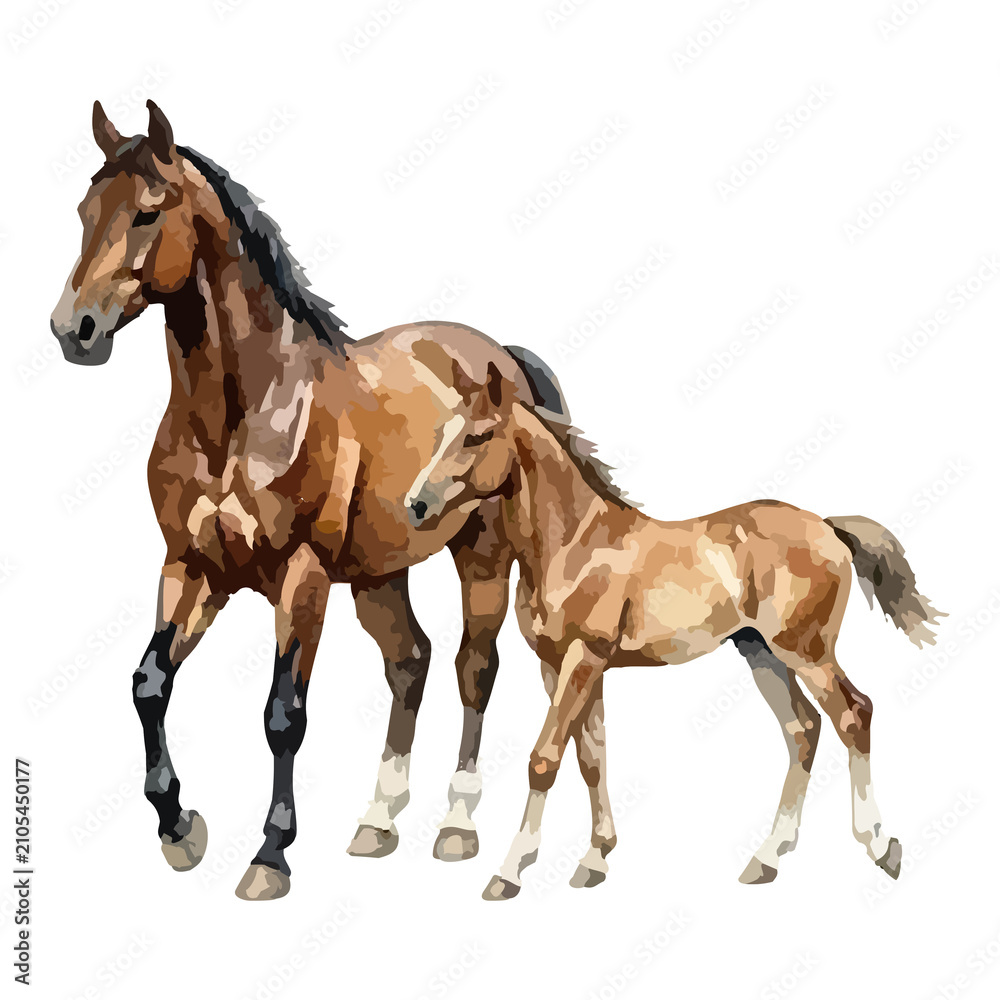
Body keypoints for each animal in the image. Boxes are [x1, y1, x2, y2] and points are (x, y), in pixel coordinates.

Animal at [49, 100, 570, 901]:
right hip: (380, 575)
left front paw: (270, 855)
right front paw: (180, 829)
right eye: (84, 210)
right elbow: (148, 685)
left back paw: (456, 827)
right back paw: (377, 822)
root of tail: (501, 358)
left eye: (146, 212)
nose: (73, 330)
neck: (245, 415)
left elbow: (282, 713)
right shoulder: (192, 567)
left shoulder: (302, 578)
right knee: (410, 660)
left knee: (472, 668)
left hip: (479, 557)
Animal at [403, 370, 943, 899]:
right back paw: (766, 860)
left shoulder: (583, 658)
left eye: (477, 436)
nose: (416, 505)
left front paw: (509, 872)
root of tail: (828, 527)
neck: (572, 544)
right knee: (802, 731)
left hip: (807, 652)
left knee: (854, 715)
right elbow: (590, 756)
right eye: (444, 432)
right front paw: (594, 861)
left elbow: (545, 758)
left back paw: (881, 847)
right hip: (760, 653)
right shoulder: (559, 664)